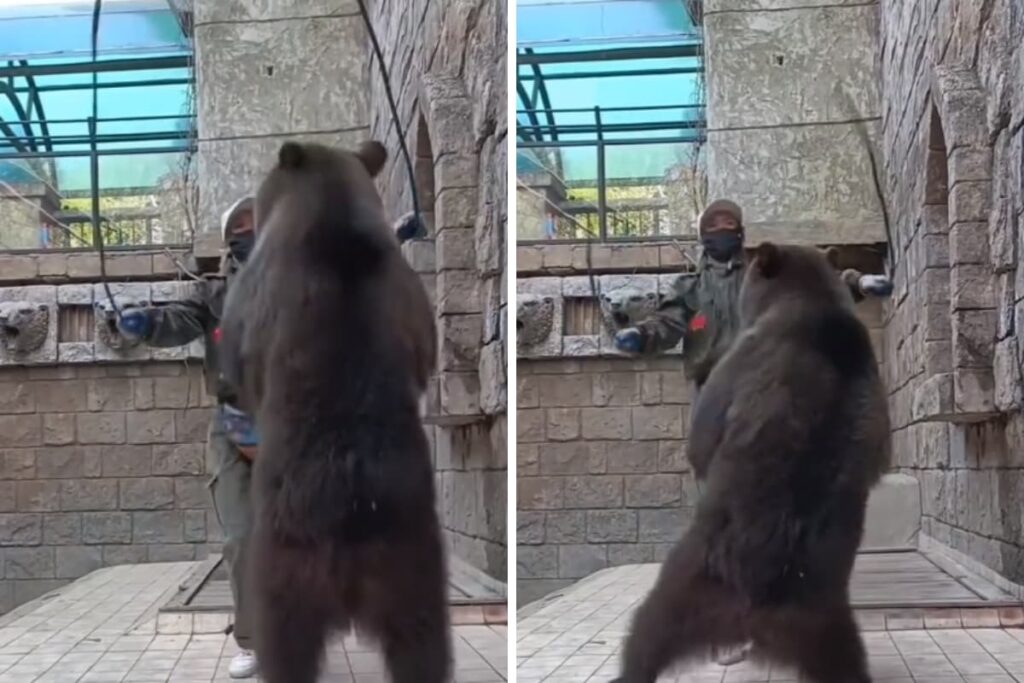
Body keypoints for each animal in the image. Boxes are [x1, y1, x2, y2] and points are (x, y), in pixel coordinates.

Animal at [218, 140, 448, 683]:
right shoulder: (408, 294)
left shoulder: (260, 294)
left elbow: (239, 354)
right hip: (415, 569)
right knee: (423, 647)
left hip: (286, 568)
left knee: (286, 645)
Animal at [611, 242, 891, 683]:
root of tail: (756, 610)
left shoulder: (743, 360)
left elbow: (704, 433)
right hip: (827, 622)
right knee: (845, 661)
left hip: (687, 584)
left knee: (647, 631)